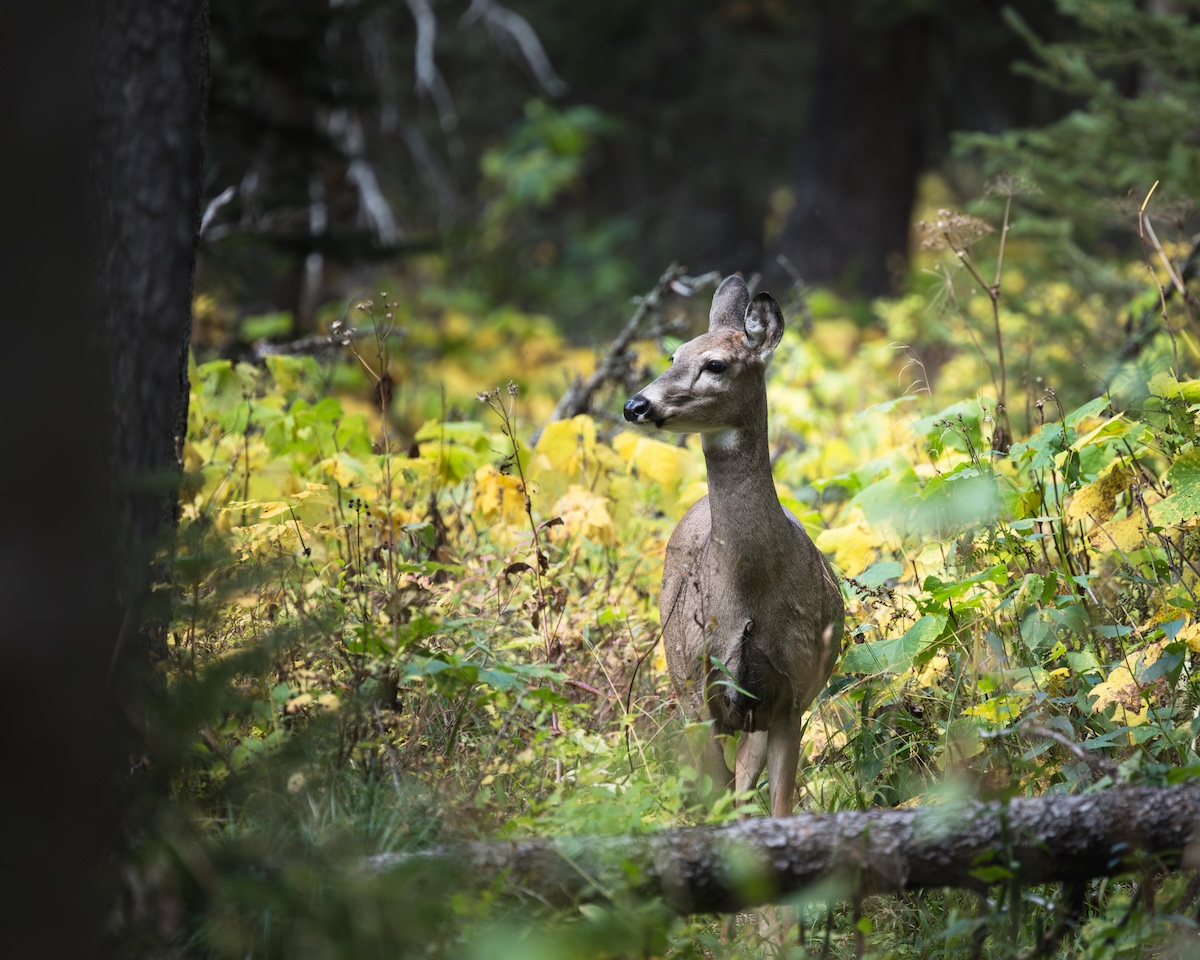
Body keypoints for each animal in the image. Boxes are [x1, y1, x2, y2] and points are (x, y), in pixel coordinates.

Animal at [623, 274, 844, 818]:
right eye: (673, 354)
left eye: (716, 364)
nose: (635, 405)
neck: (747, 593)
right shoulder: (697, 684)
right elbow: (715, 795)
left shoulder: (793, 692)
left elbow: (778, 804)